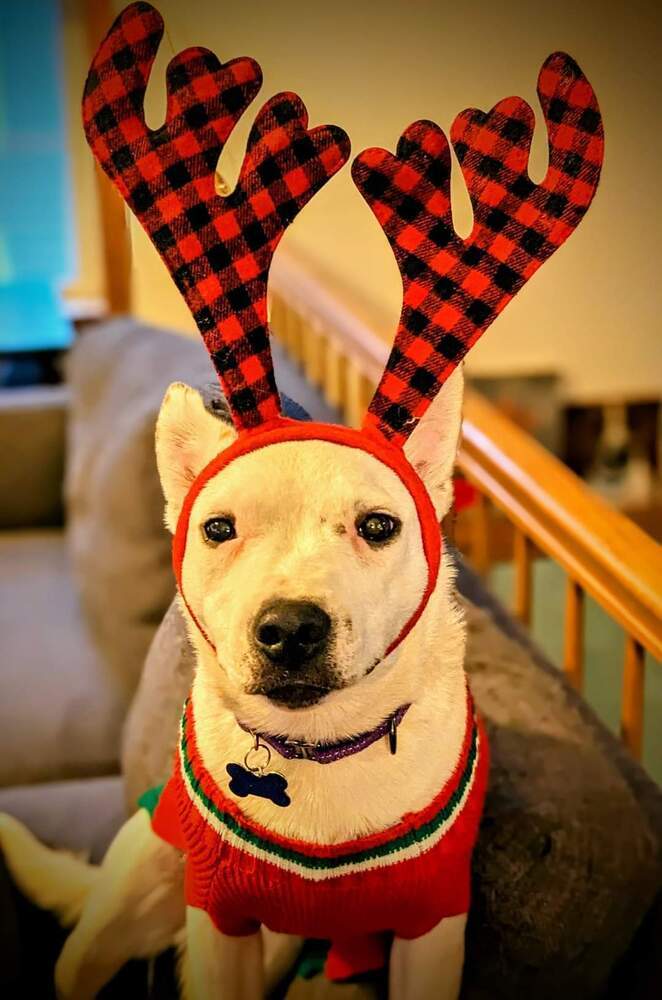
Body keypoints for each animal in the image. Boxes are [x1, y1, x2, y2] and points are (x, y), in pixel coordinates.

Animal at [0, 368, 488, 1000]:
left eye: (378, 526)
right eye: (217, 528)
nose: (290, 630)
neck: (317, 747)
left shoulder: (430, 927)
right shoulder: (219, 914)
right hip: (131, 898)